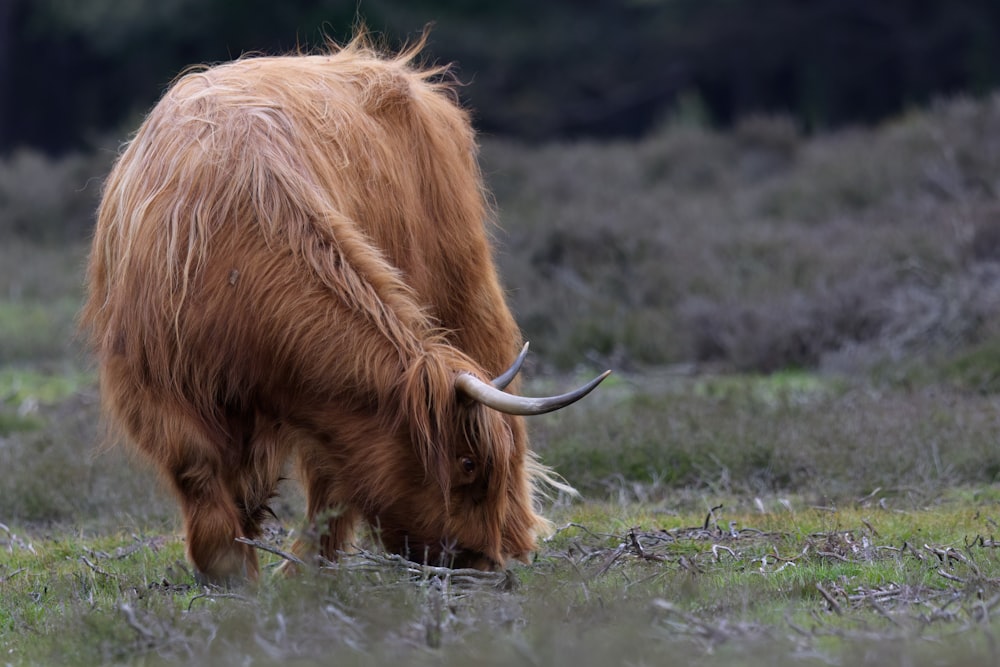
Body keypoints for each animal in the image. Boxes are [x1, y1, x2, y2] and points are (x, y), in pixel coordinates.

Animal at [82, 35, 608, 584]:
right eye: (465, 465)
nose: (482, 564)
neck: (236, 263)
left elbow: (327, 481)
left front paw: (304, 571)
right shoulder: (155, 385)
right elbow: (200, 471)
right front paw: (230, 569)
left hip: (462, 282)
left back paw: (517, 535)